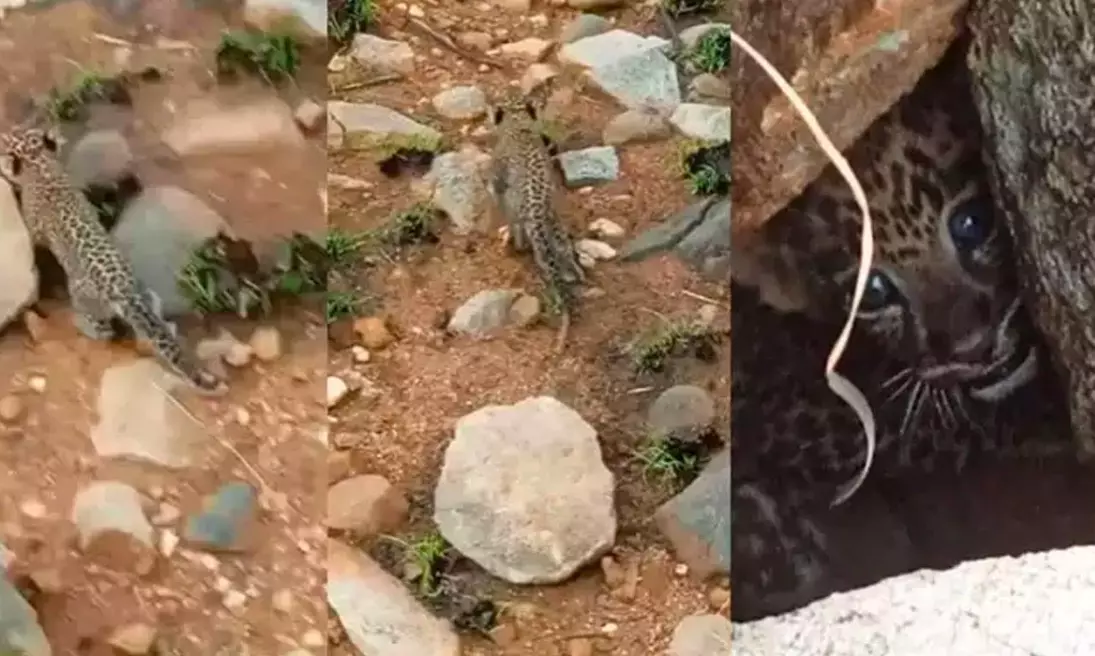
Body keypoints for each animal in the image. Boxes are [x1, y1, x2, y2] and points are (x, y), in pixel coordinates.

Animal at [0, 125, 227, 395]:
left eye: (8, 139)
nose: (3, 134)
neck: (42, 164)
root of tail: (124, 291)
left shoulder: (35, 228)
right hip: (146, 296)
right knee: (155, 321)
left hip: (82, 295)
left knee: (104, 330)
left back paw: (82, 325)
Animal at [487, 89, 586, 352]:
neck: (518, 120)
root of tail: (538, 207)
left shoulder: (499, 177)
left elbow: (494, 185)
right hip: (555, 225)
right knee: (563, 250)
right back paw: (576, 271)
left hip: (518, 214)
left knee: (522, 239)